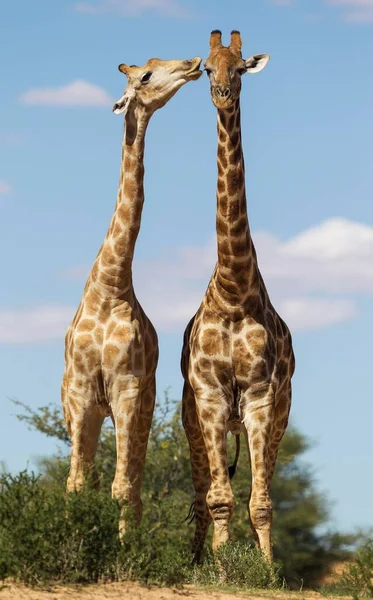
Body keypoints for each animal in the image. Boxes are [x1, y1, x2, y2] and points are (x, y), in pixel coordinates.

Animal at [62, 55, 202, 528]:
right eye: (145, 76)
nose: (193, 63)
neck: (111, 284)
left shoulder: (128, 390)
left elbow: (122, 489)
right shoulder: (81, 395)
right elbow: (76, 486)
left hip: (144, 408)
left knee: (135, 487)